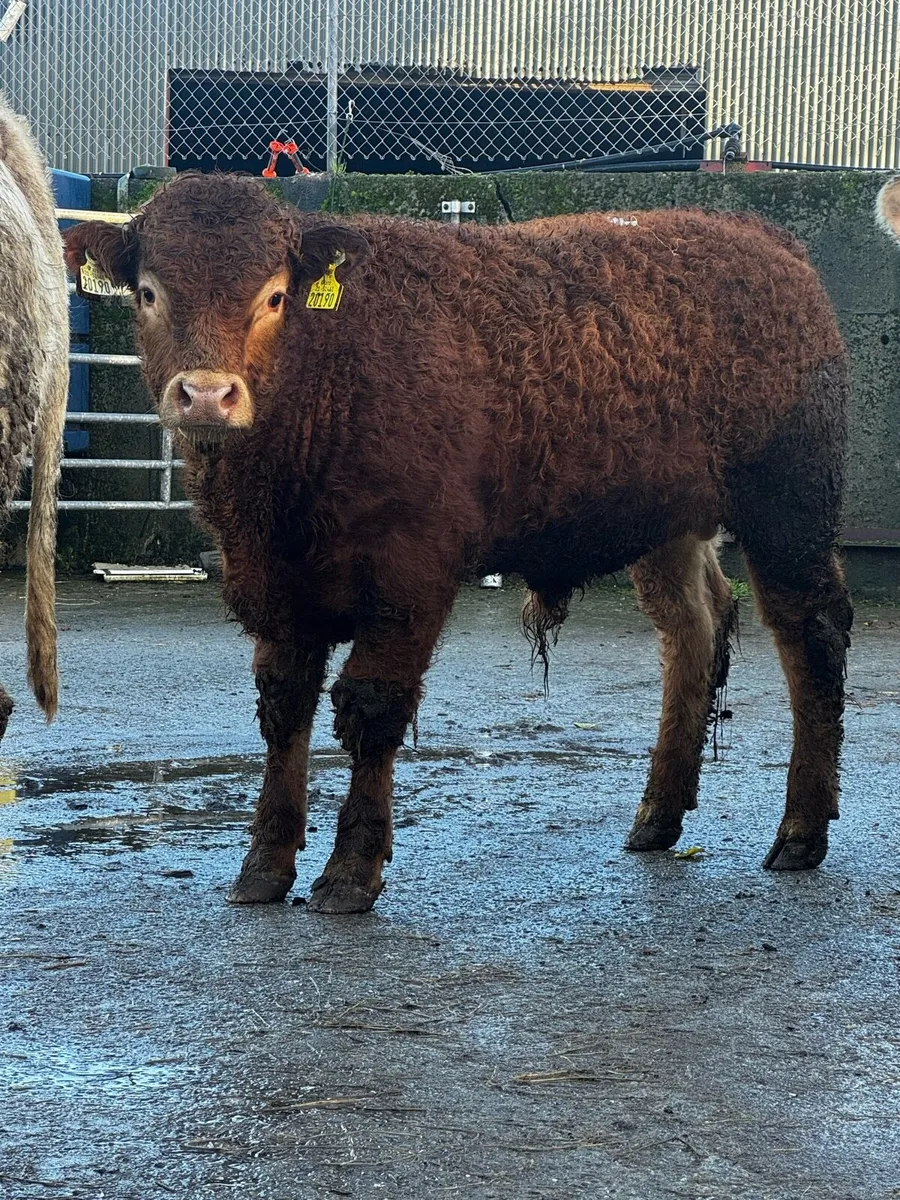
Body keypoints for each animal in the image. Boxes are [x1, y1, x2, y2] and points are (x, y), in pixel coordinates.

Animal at [64, 175, 851, 914]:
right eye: (148, 292)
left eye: (276, 297)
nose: (206, 395)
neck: (327, 370)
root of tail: (765, 240)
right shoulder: (273, 581)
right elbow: (284, 708)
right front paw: (263, 865)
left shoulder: (409, 574)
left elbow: (372, 706)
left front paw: (350, 872)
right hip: (666, 525)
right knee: (692, 631)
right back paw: (657, 818)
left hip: (789, 506)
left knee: (811, 633)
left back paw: (800, 833)